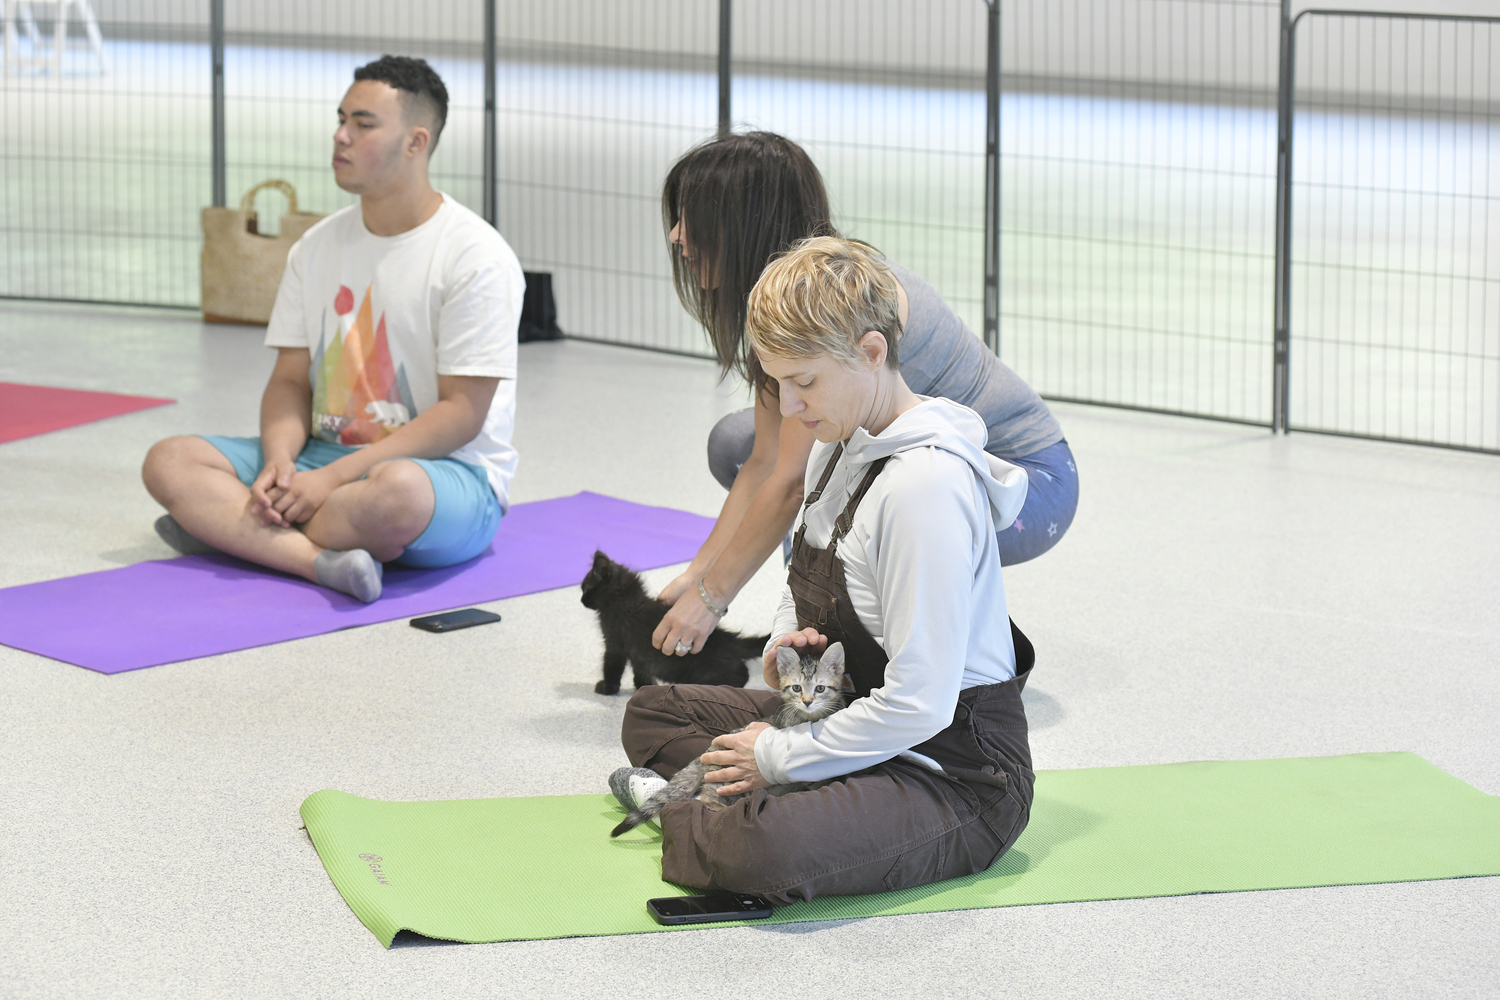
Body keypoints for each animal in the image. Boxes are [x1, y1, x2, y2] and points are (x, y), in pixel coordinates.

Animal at [579, 548, 768, 695]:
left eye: (585, 588)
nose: (581, 600)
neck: (623, 598)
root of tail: (729, 640)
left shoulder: (615, 643)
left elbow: (611, 668)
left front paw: (606, 688)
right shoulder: (638, 654)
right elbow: (641, 670)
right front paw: (645, 685)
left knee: (741, 673)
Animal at [606, 641, 846, 839]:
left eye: (820, 688)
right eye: (797, 688)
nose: (807, 701)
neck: (811, 717)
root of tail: (707, 753)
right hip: (732, 782)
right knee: (705, 799)